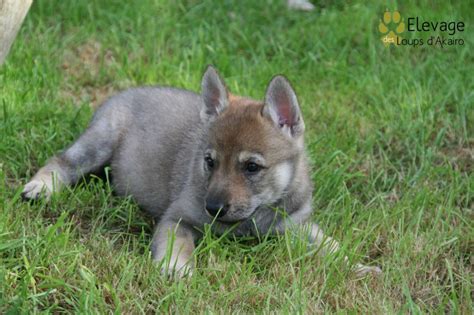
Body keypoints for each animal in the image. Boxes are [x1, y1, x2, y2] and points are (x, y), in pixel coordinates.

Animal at [24, 66, 384, 276]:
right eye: (209, 161)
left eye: (251, 167)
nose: (212, 208)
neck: (255, 217)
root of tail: (127, 91)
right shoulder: (178, 218)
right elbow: (178, 243)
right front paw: (176, 268)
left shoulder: (297, 226)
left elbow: (331, 246)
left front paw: (358, 266)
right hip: (99, 142)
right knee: (62, 160)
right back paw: (41, 187)